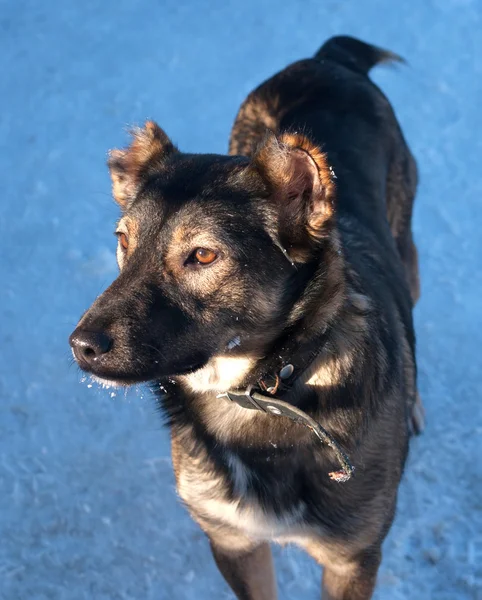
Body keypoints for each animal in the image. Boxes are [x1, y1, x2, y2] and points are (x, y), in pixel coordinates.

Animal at [69, 36, 424, 600]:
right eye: (123, 241)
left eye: (203, 256)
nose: (81, 345)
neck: (266, 392)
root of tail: (327, 60)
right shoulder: (232, 541)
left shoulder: (352, 558)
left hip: (406, 246)